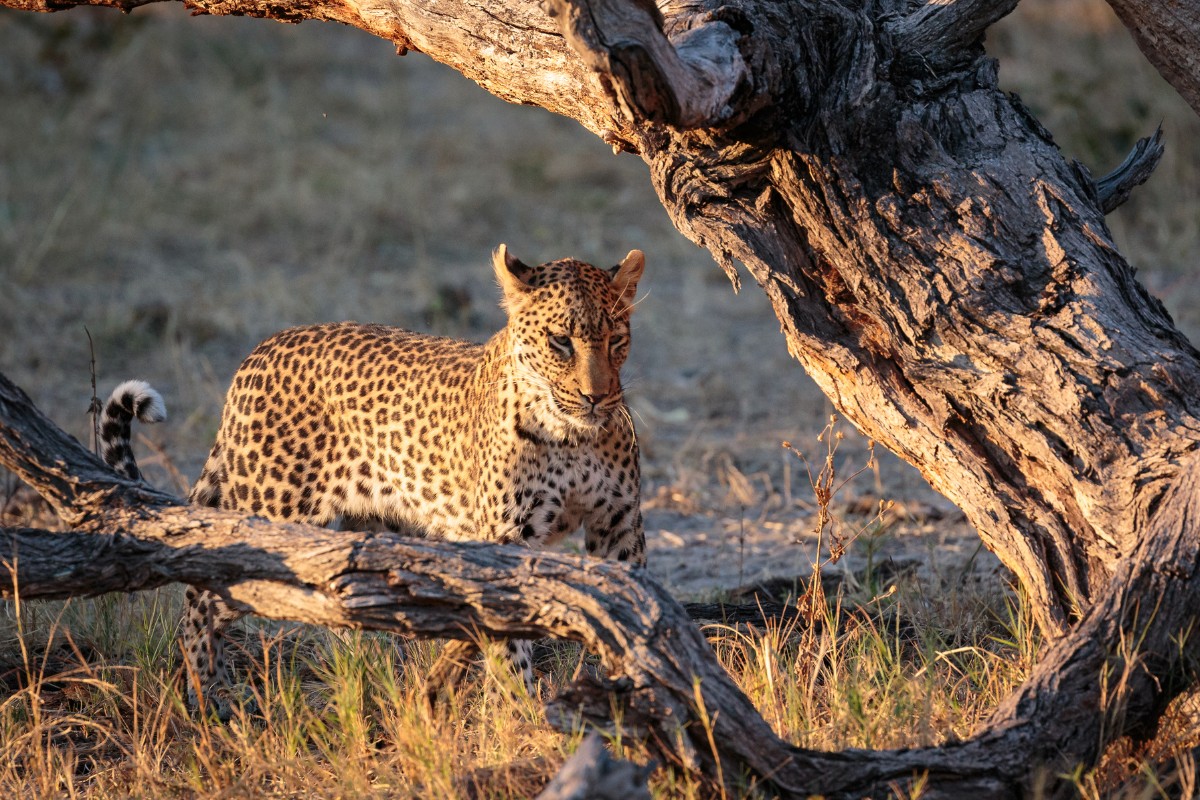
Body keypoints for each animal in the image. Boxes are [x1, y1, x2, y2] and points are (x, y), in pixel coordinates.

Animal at [104, 245, 648, 719]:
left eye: (617, 340)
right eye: (561, 342)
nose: (597, 397)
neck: (572, 438)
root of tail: (257, 353)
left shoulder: (618, 525)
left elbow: (633, 614)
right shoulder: (508, 540)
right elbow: (511, 645)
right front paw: (522, 718)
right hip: (270, 516)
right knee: (202, 592)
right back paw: (205, 693)